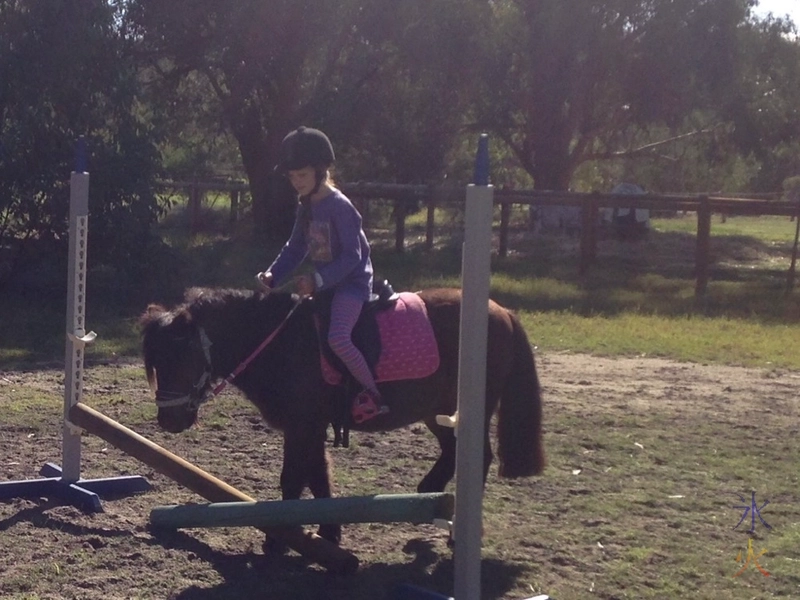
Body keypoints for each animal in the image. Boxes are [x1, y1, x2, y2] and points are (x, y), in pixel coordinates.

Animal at [140, 286, 545, 546]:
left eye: (182, 356)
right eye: (156, 361)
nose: (168, 421)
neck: (280, 344)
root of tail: (503, 311)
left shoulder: (302, 425)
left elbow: (293, 478)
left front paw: (280, 539)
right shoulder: (307, 426)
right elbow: (317, 476)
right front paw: (328, 531)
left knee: (478, 457)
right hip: (437, 410)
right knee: (452, 451)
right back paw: (429, 495)